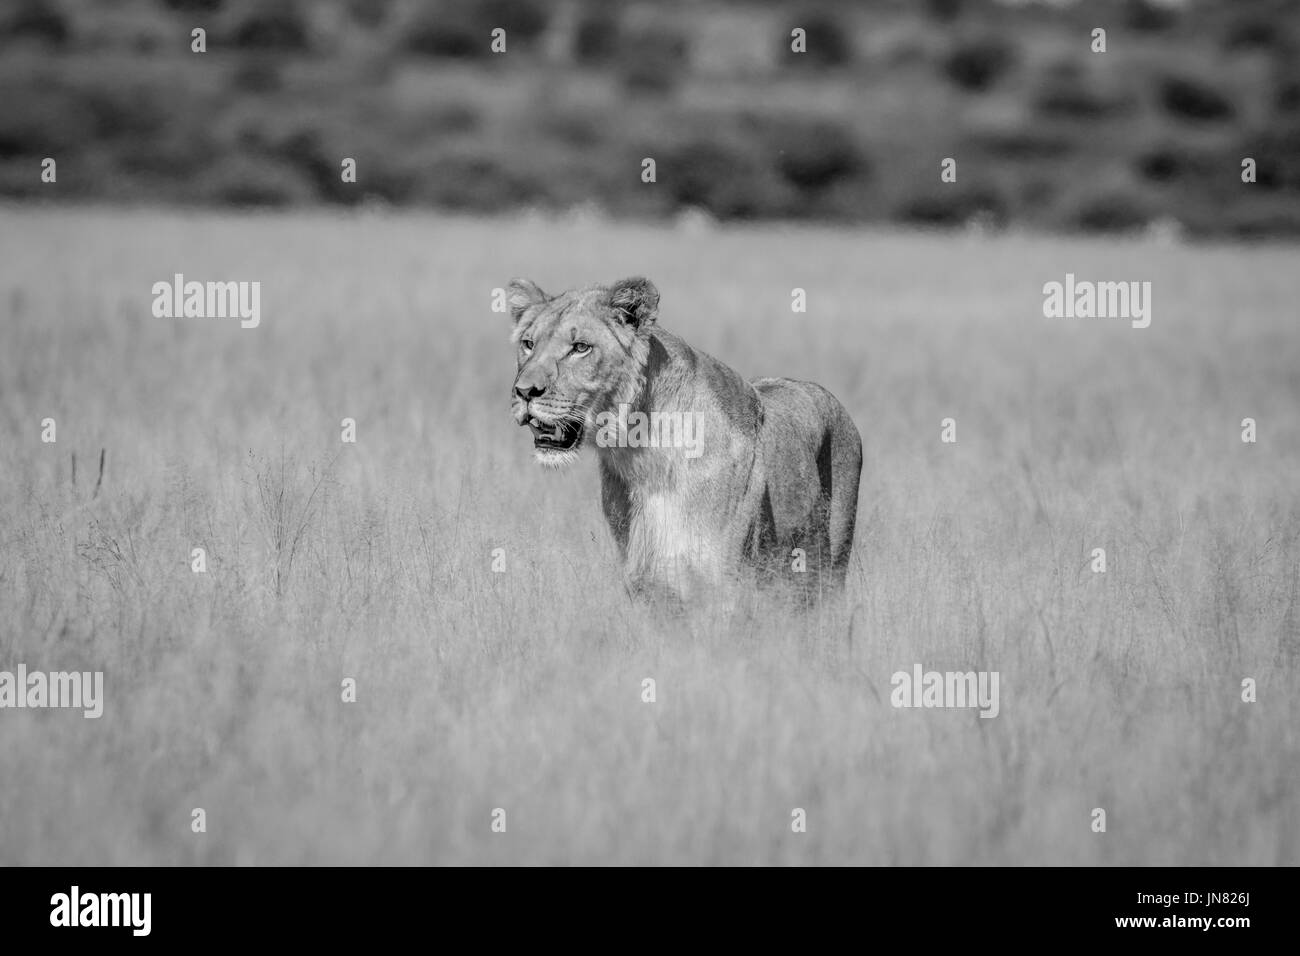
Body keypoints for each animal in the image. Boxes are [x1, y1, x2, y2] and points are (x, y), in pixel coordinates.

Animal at [507, 275, 862, 606]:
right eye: (528, 343)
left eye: (580, 347)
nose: (524, 392)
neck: (639, 455)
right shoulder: (647, 588)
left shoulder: (723, 589)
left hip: (829, 570)